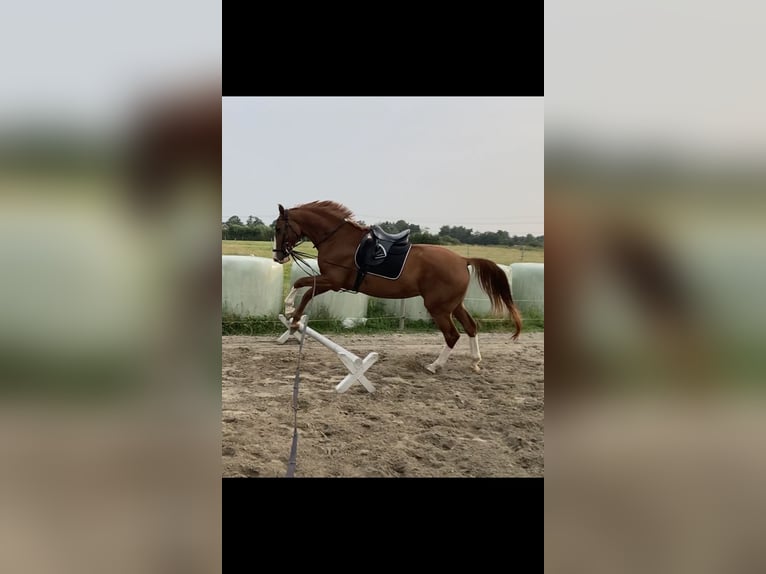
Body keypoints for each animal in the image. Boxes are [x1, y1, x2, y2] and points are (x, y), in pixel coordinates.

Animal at [272, 201, 524, 374]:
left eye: (278, 229)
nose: (278, 257)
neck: (336, 238)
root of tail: (463, 260)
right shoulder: (332, 282)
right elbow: (303, 287)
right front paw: (291, 316)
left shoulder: (332, 281)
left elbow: (303, 288)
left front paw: (291, 315)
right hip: (453, 304)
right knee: (471, 327)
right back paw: (475, 361)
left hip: (439, 307)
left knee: (452, 335)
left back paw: (434, 365)